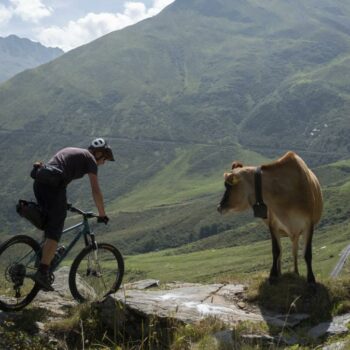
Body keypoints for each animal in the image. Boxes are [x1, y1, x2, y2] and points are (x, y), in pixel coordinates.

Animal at [217, 151, 324, 284]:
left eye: (229, 186)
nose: (219, 207)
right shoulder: (273, 224)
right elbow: (276, 251)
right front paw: (273, 274)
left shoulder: (309, 223)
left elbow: (307, 253)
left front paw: (311, 279)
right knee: (283, 251)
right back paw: (281, 273)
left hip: (296, 232)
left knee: (294, 250)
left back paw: (296, 272)